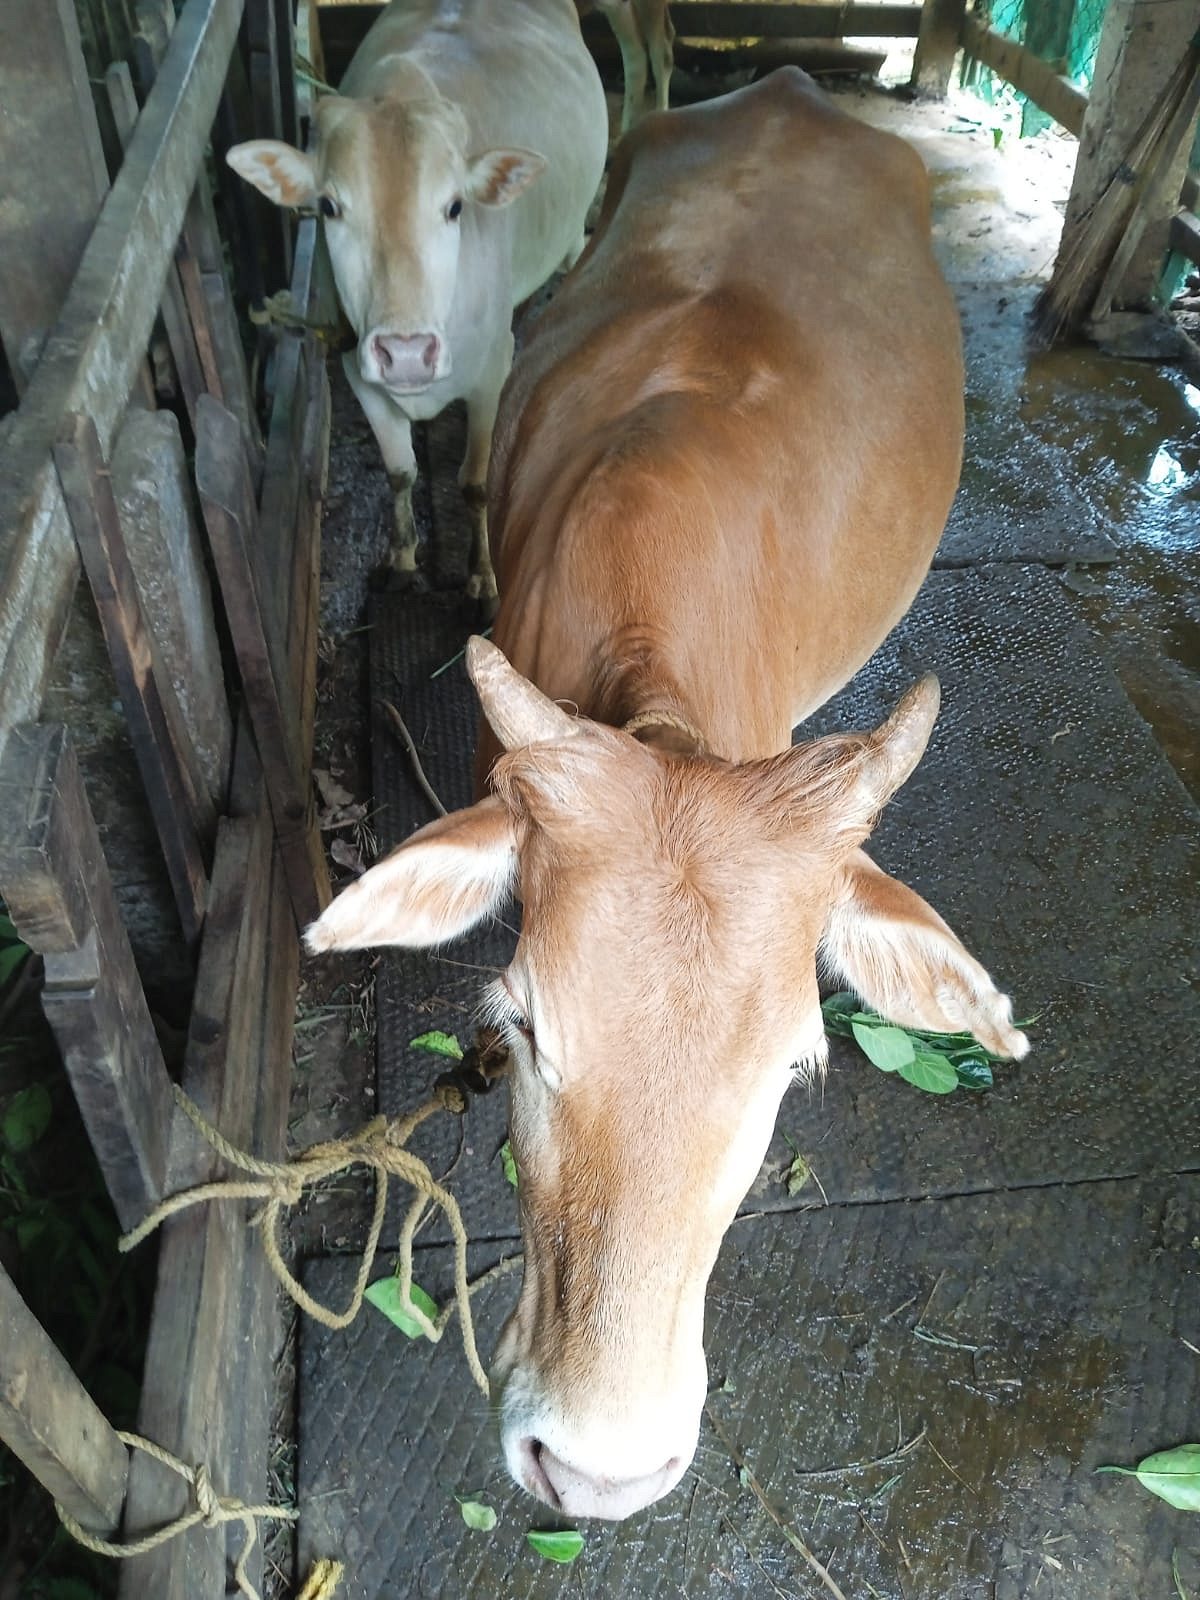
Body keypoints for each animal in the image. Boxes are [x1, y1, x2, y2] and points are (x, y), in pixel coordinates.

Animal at [226, 0, 608, 605]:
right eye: (329, 206)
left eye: (455, 206)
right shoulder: (356, 369)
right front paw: (403, 557)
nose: (406, 353)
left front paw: (483, 572)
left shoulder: (490, 374)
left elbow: (476, 484)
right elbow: (399, 472)